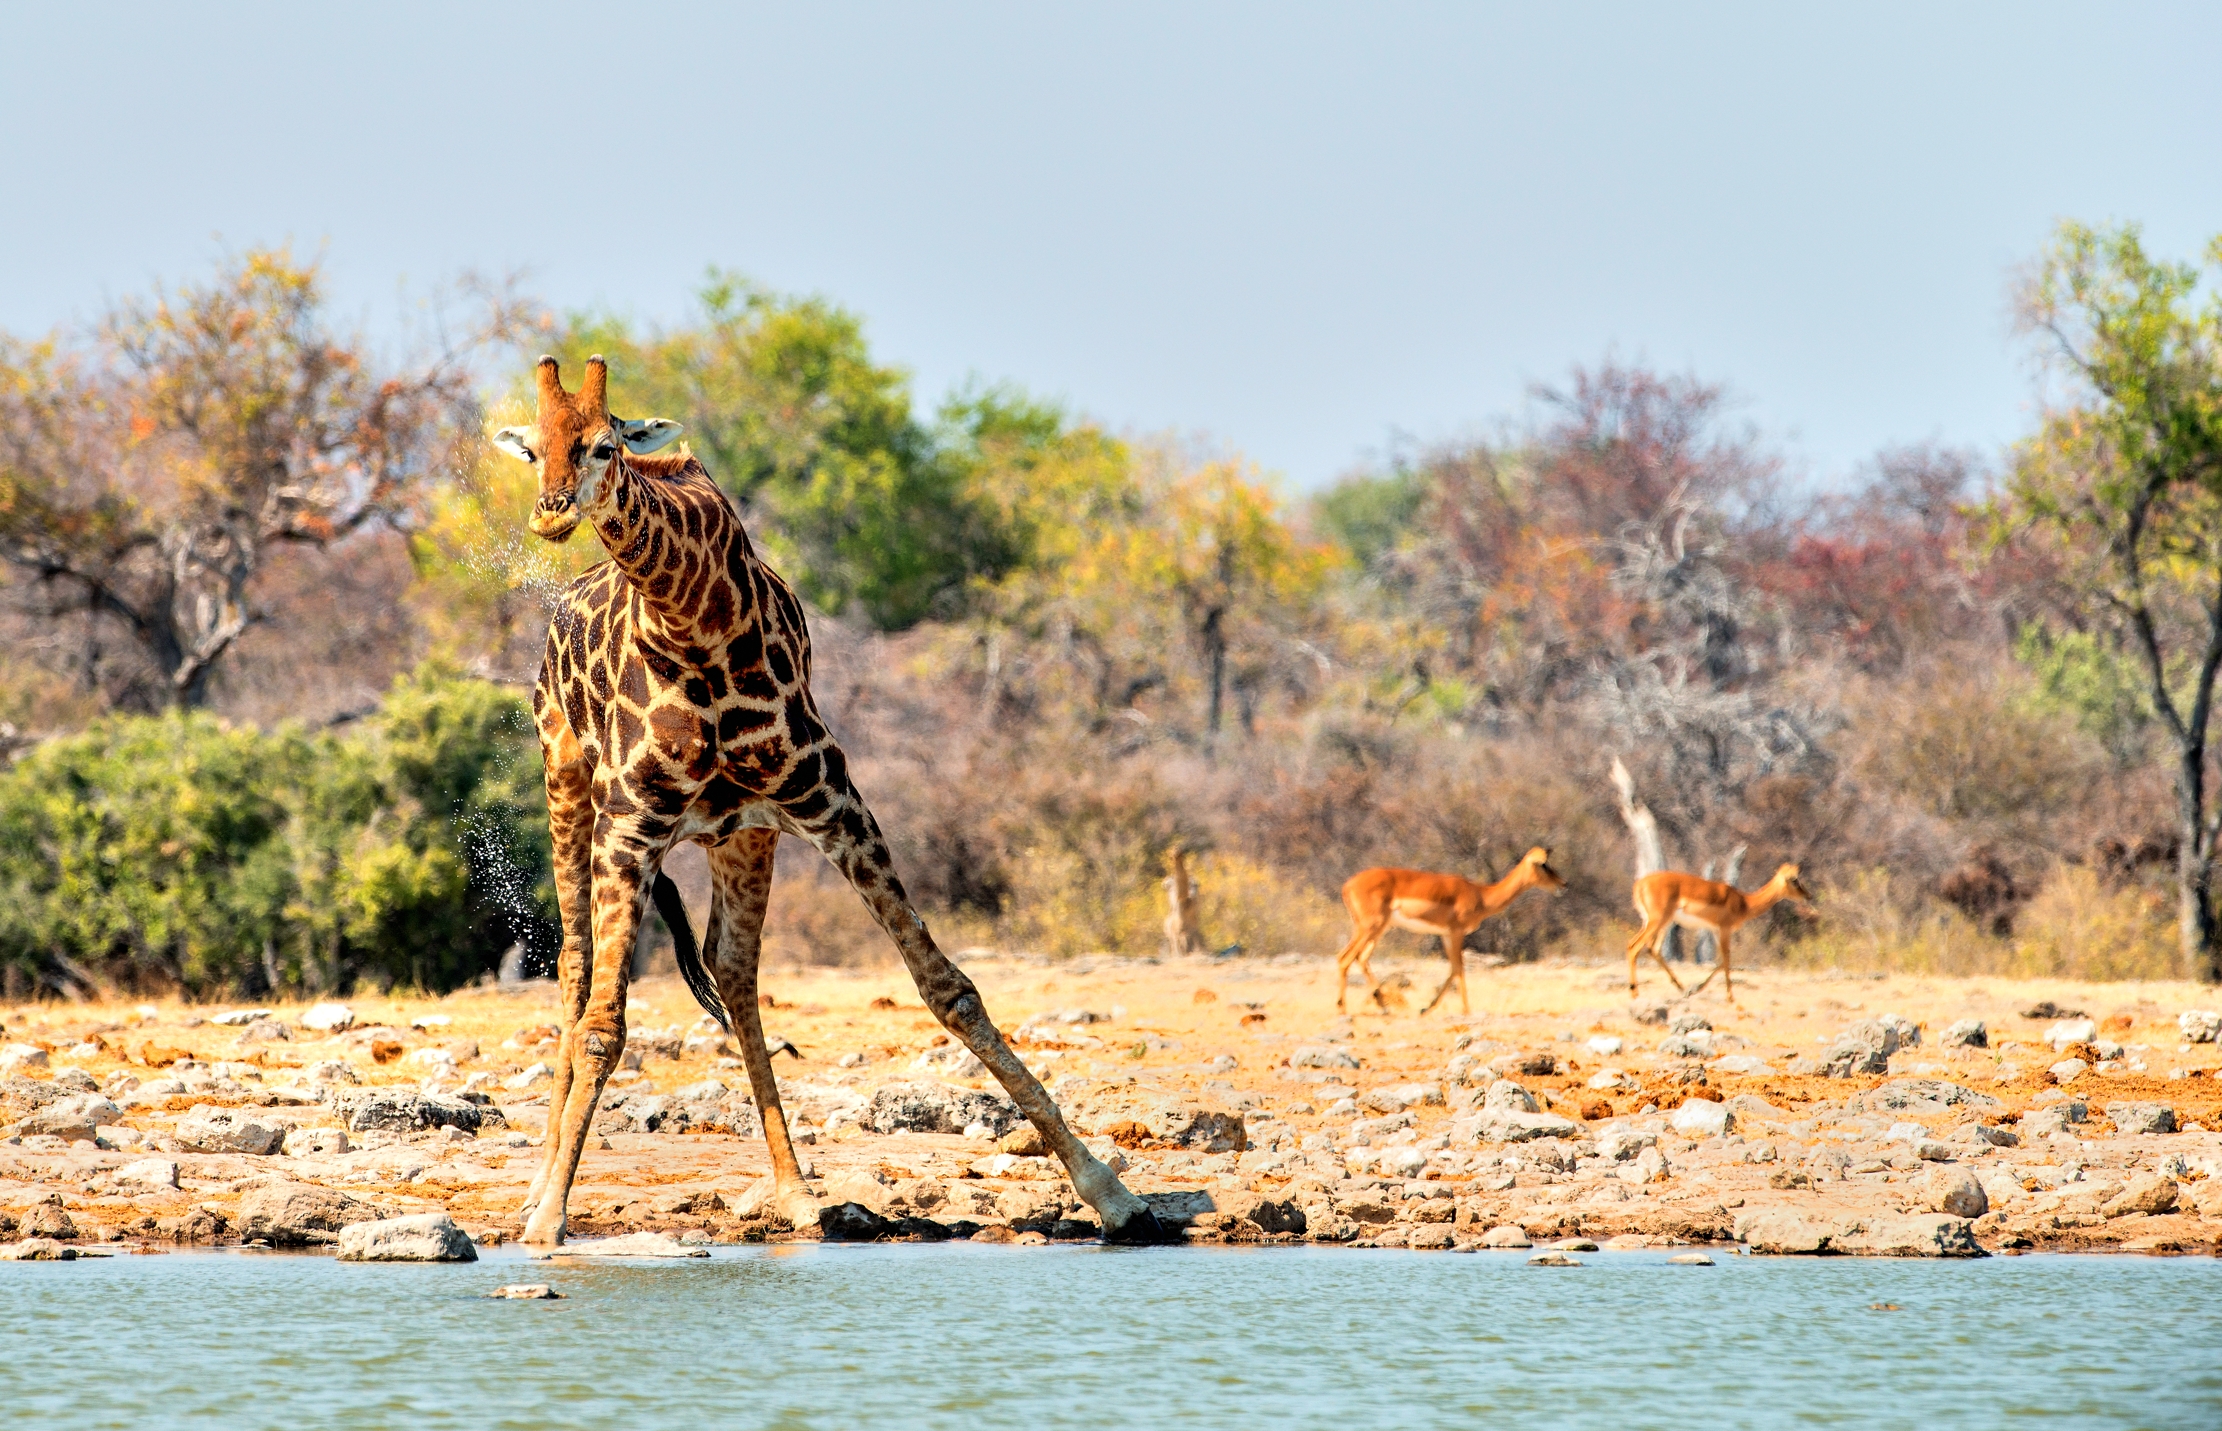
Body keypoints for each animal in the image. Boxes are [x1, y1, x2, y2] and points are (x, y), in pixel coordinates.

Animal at [492, 355, 1166, 1245]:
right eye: (534, 450)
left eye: (605, 443)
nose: (553, 512)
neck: (697, 616)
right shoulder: (631, 827)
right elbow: (606, 1027)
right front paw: (547, 1220)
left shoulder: (832, 800)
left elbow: (950, 988)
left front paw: (1110, 1190)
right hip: (565, 785)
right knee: (575, 972)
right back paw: (540, 1184)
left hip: (741, 834)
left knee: (733, 971)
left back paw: (795, 1189)